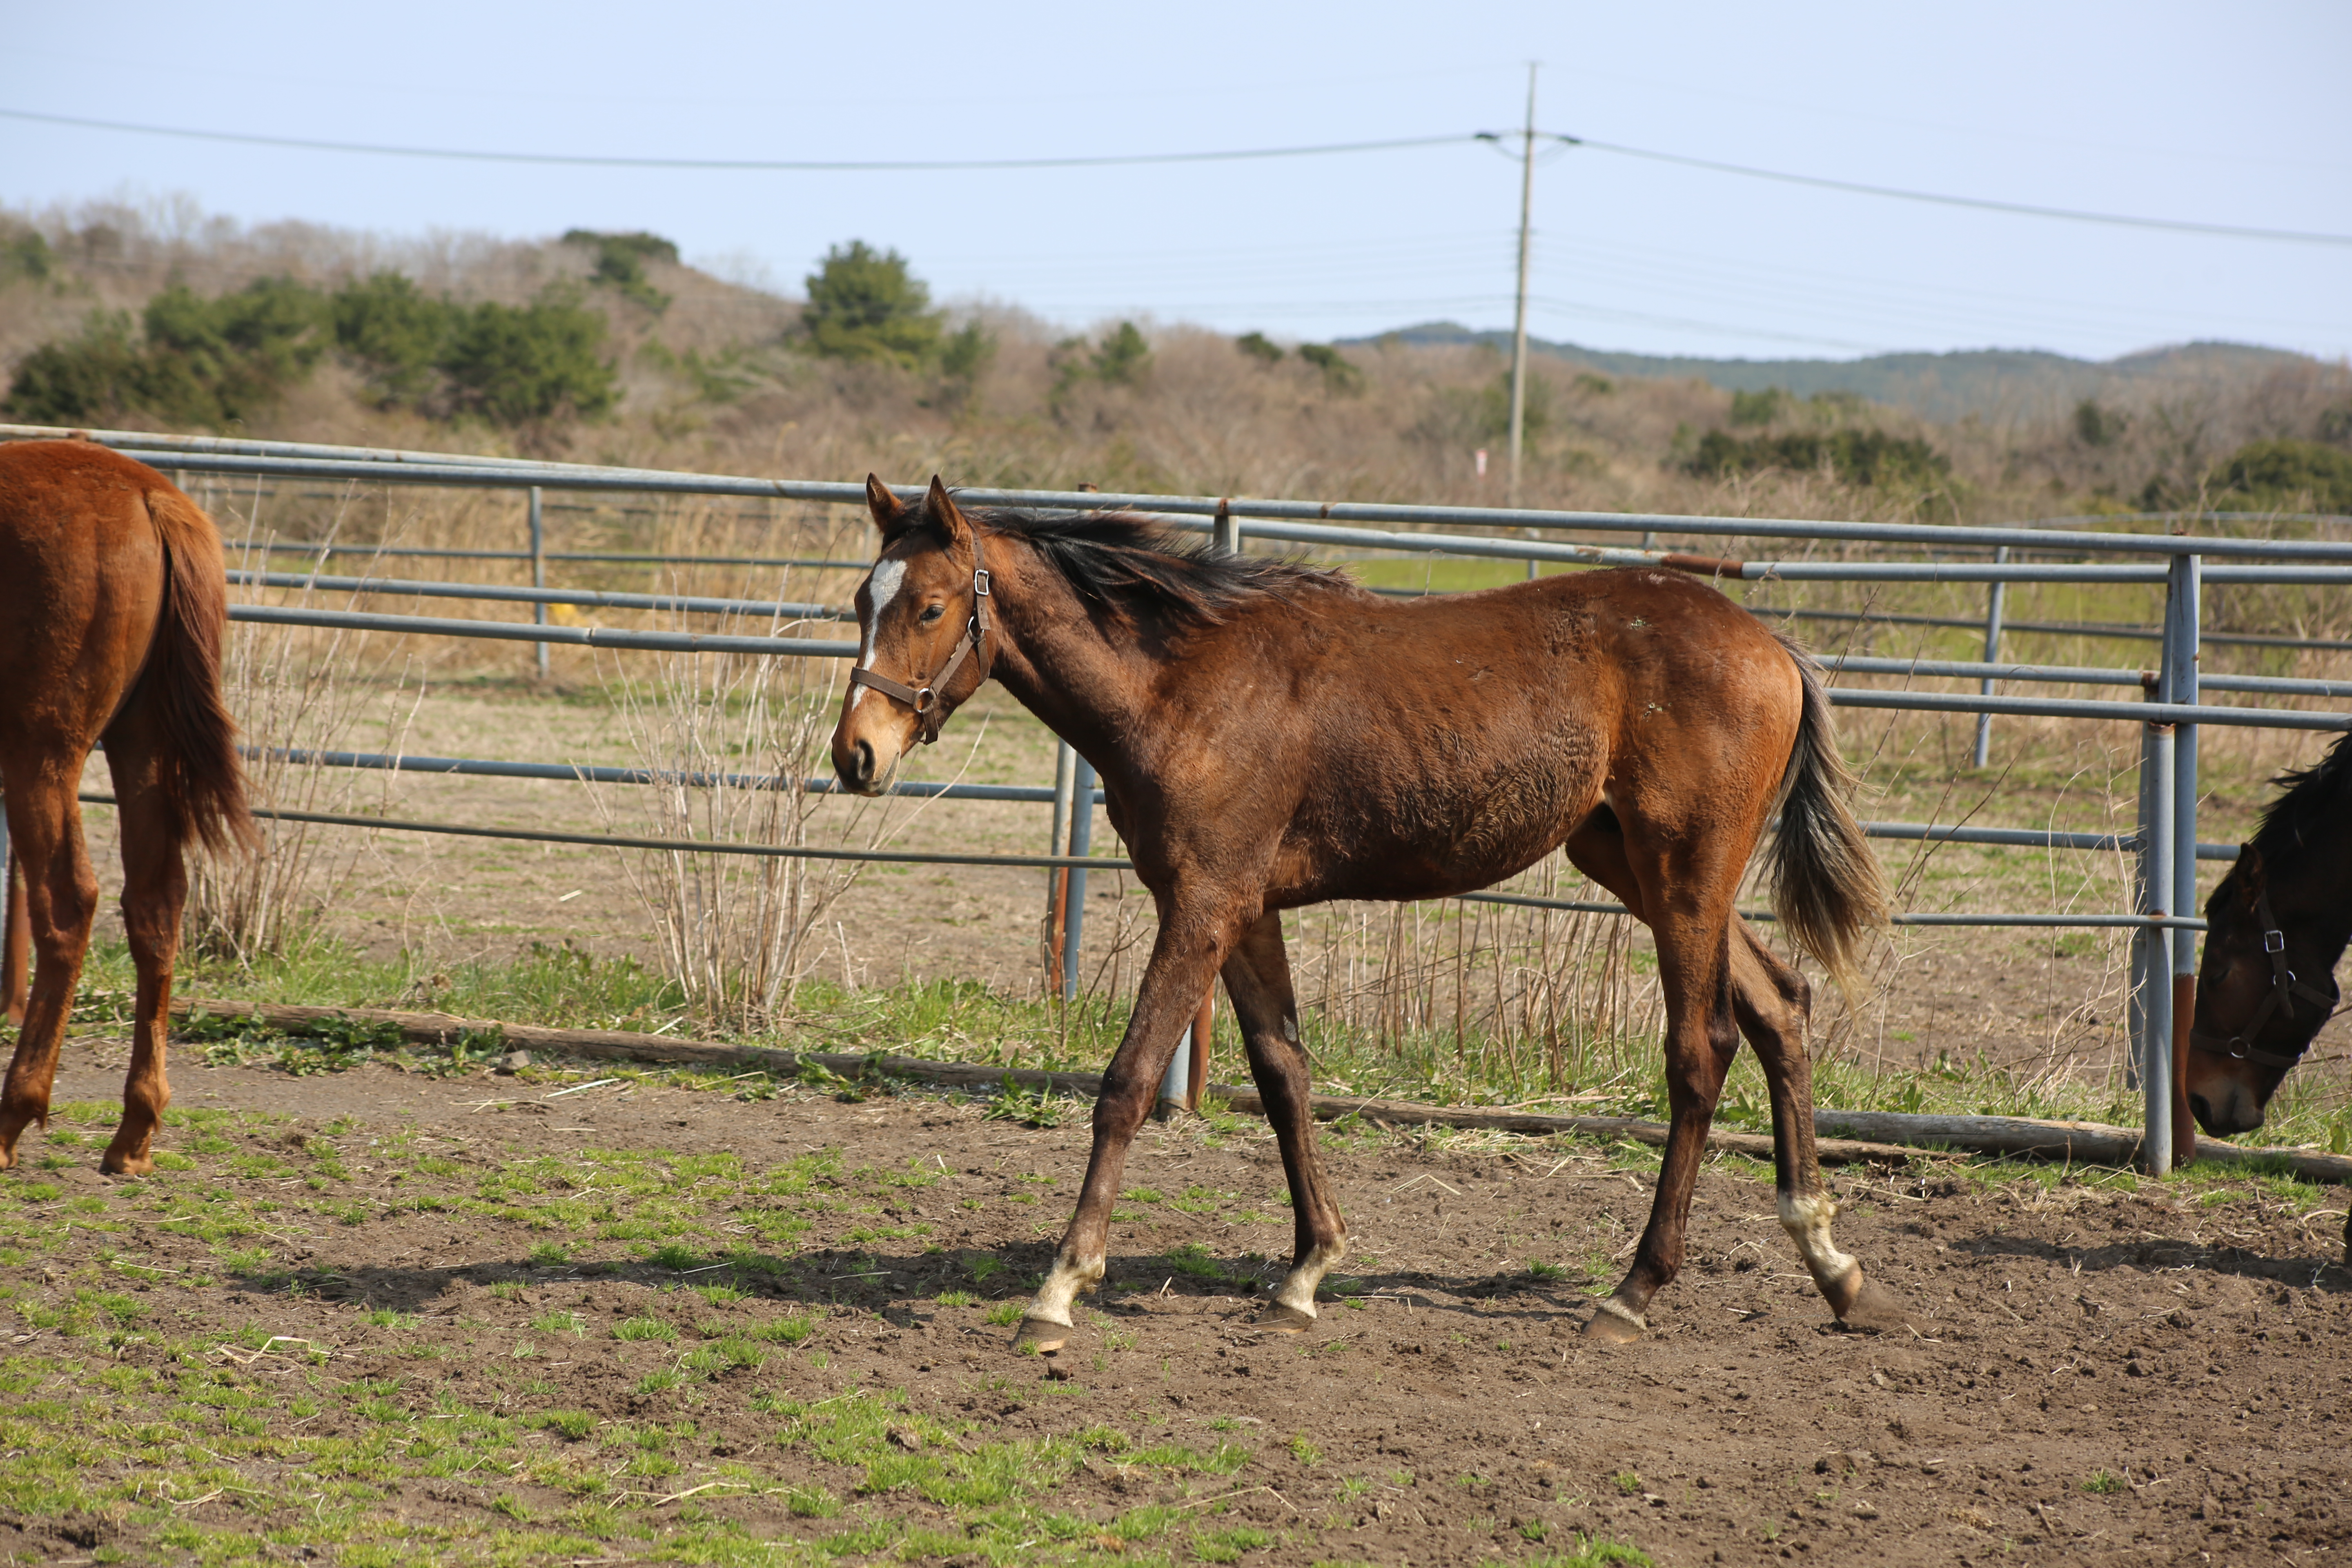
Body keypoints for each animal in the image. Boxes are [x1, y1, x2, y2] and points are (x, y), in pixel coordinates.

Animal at [0, 442, 253, 1175]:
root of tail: (149, 496)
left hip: (41, 753)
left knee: (66, 904)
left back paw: (11, 1119)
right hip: (142, 741)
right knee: (155, 903)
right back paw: (135, 1130)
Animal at [837, 482, 1900, 1354]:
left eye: (929, 605)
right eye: (860, 601)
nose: (856, 754)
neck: (1181, 685)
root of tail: (1772, 647)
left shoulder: (1200, 904)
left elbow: (1128, 1083)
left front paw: (1058, 1290)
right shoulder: (1245, 910)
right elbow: (1283, 1074)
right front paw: (1305, 1273)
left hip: (1683, 875)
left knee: (1701, 1048)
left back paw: (1632, 1292)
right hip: (1638, 867)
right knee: (1781, 1005)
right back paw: (1833, 1266)